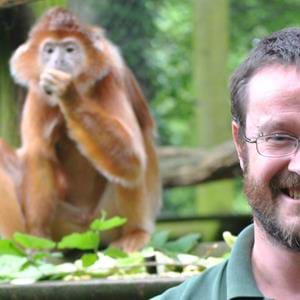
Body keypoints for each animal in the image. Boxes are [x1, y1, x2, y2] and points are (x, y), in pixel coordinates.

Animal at [0, 6, 162, 251]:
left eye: (69, 49)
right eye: (49, 50)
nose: (57, 60)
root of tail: (86, 232)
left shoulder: (110, 78)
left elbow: (132, 159)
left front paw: (68, 93)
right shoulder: (39, 93)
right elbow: (39, 156)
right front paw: (37, 238)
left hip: (107, 220)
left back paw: (136, 234)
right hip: (65, 226)